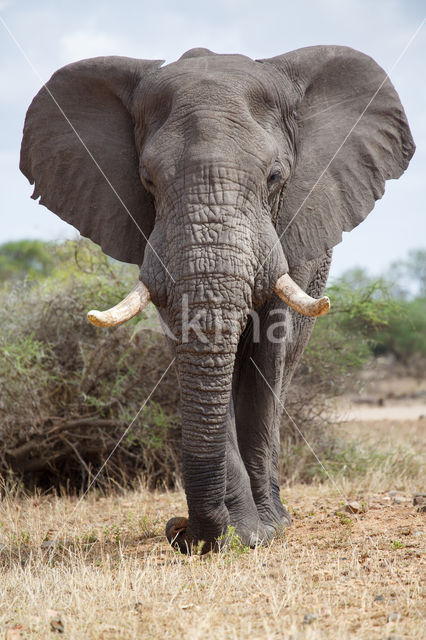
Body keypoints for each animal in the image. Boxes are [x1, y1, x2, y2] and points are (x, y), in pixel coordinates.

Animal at [19, 47, 412, 552]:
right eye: (147, 180)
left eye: (275, 177)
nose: (181, 533)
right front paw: (239, 535)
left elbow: (268, 354)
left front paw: (263, 531)